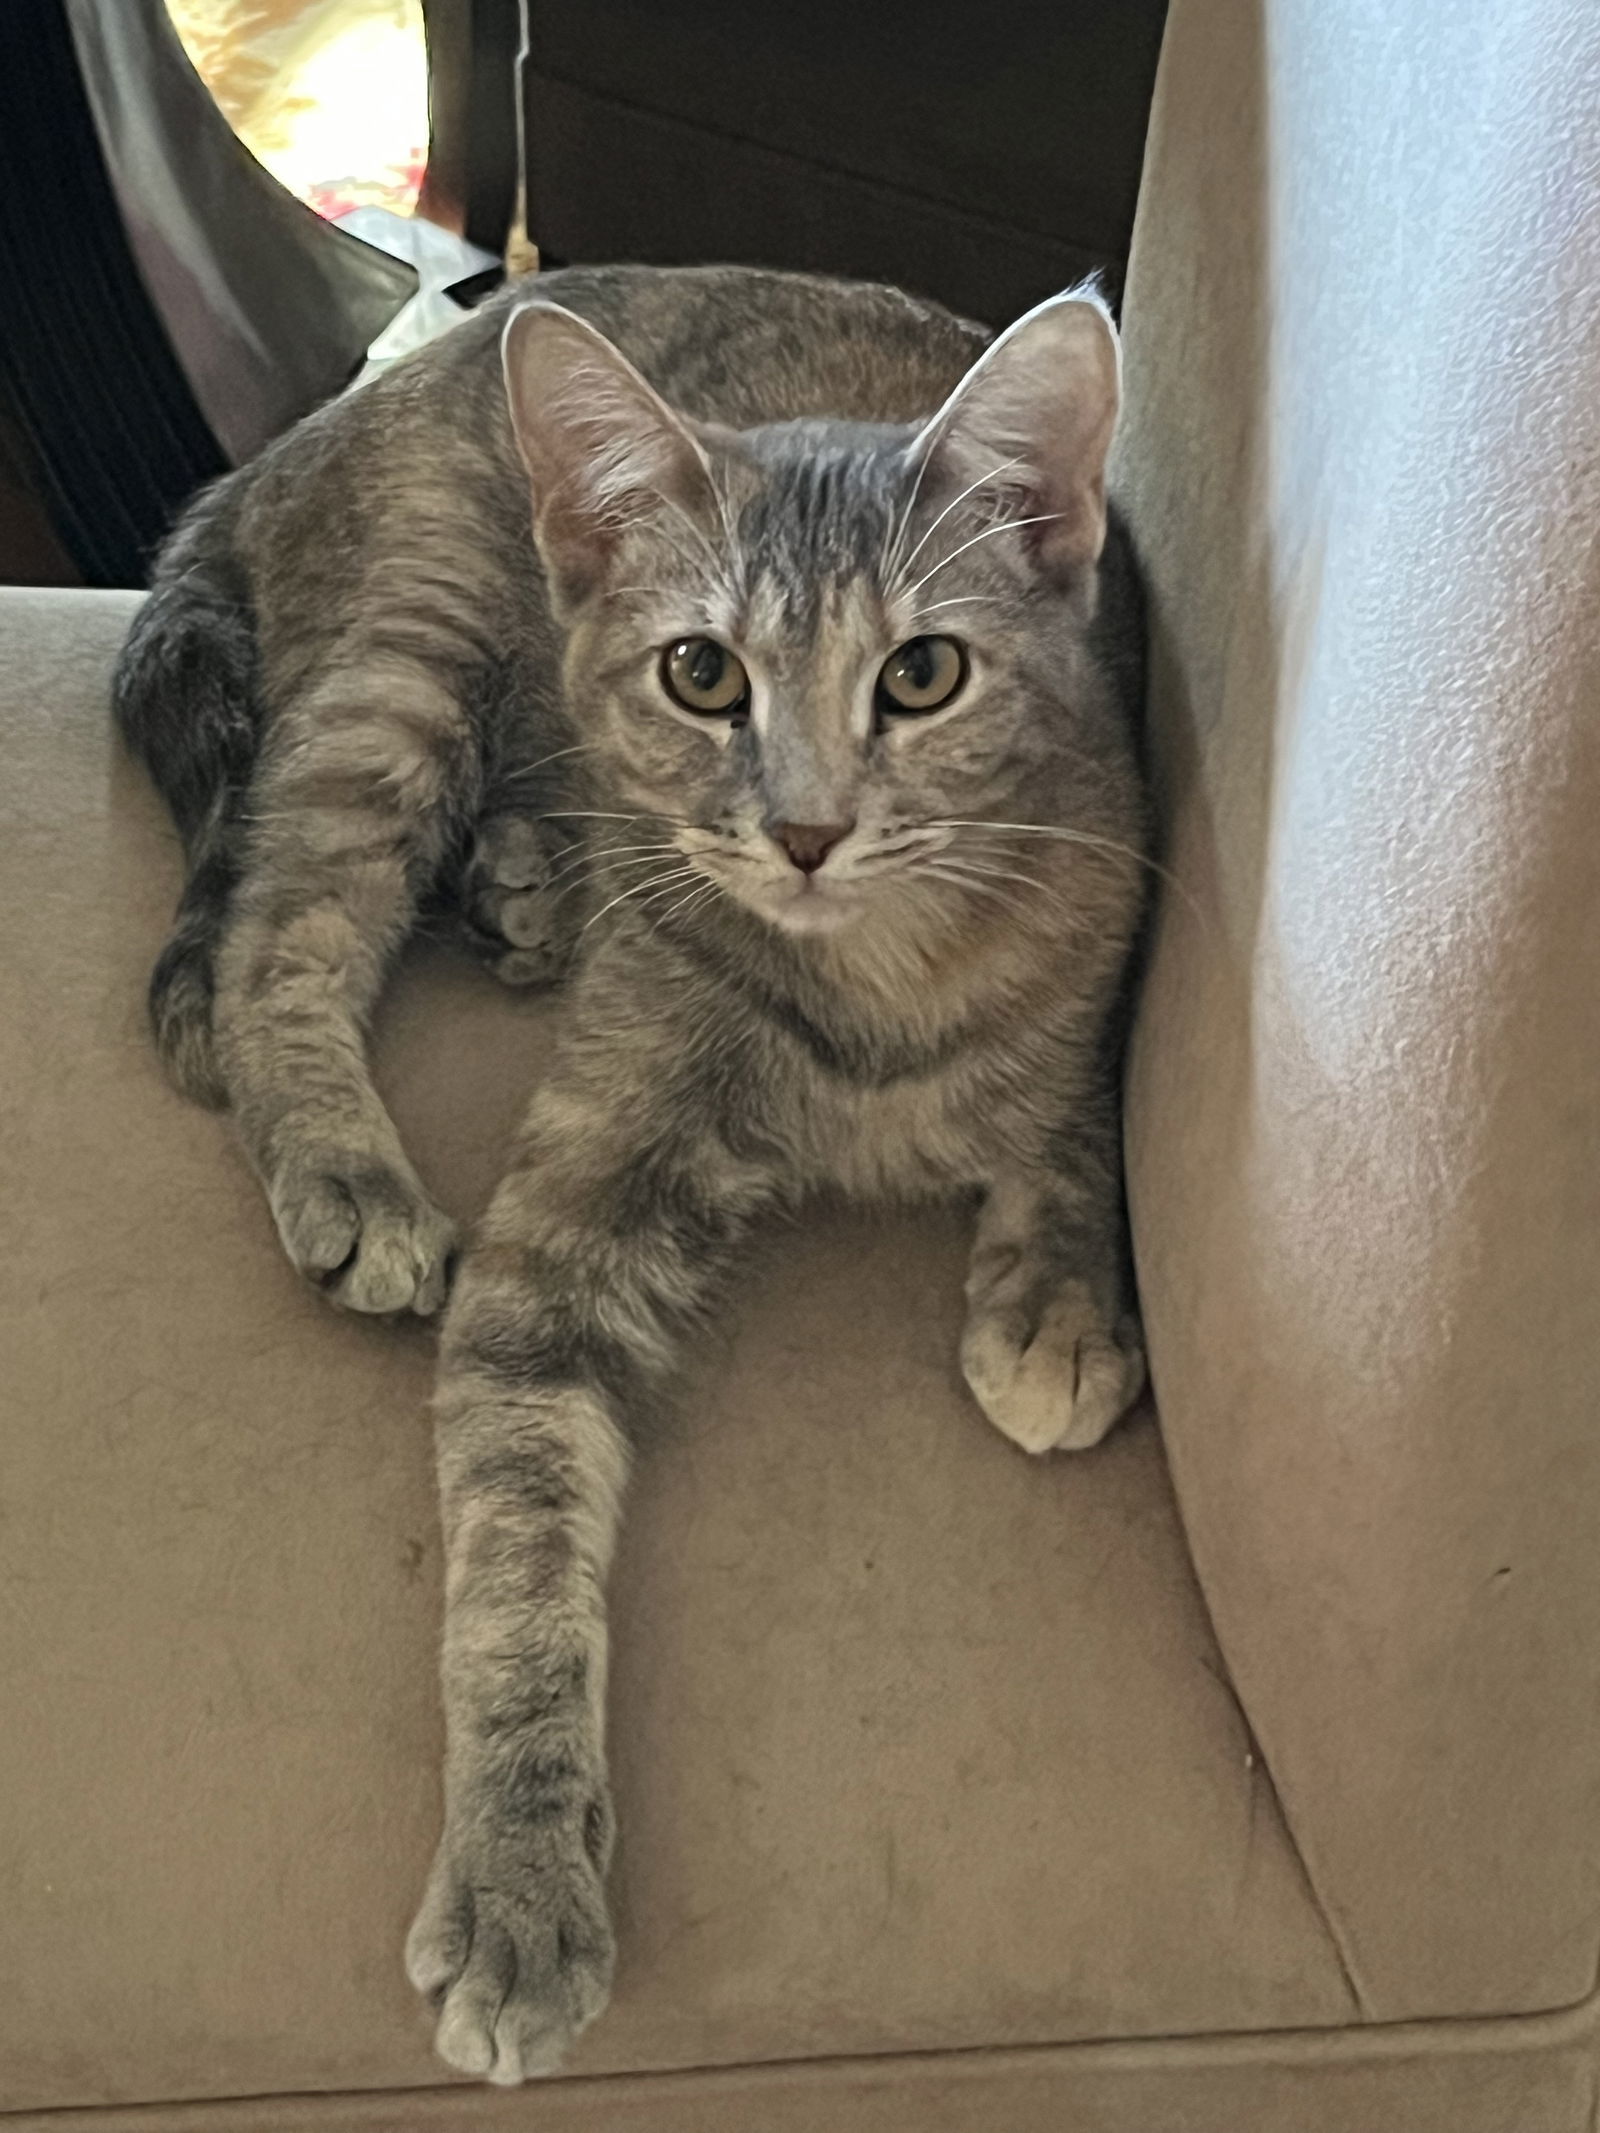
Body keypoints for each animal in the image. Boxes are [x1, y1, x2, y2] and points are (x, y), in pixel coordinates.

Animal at [113, 266, 1152, 2081]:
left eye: (924, 673)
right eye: (701, 675)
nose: (804, 829)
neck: (873, 991)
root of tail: (270, 461)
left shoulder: (1112, 888)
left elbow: (1070, 1088)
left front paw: (1059, 1297)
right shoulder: (558, 1240)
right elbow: (515, 1563)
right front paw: (521, 1874)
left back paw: (526, 885)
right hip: (413, 647)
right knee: (272, 933)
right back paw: (345, 1158)